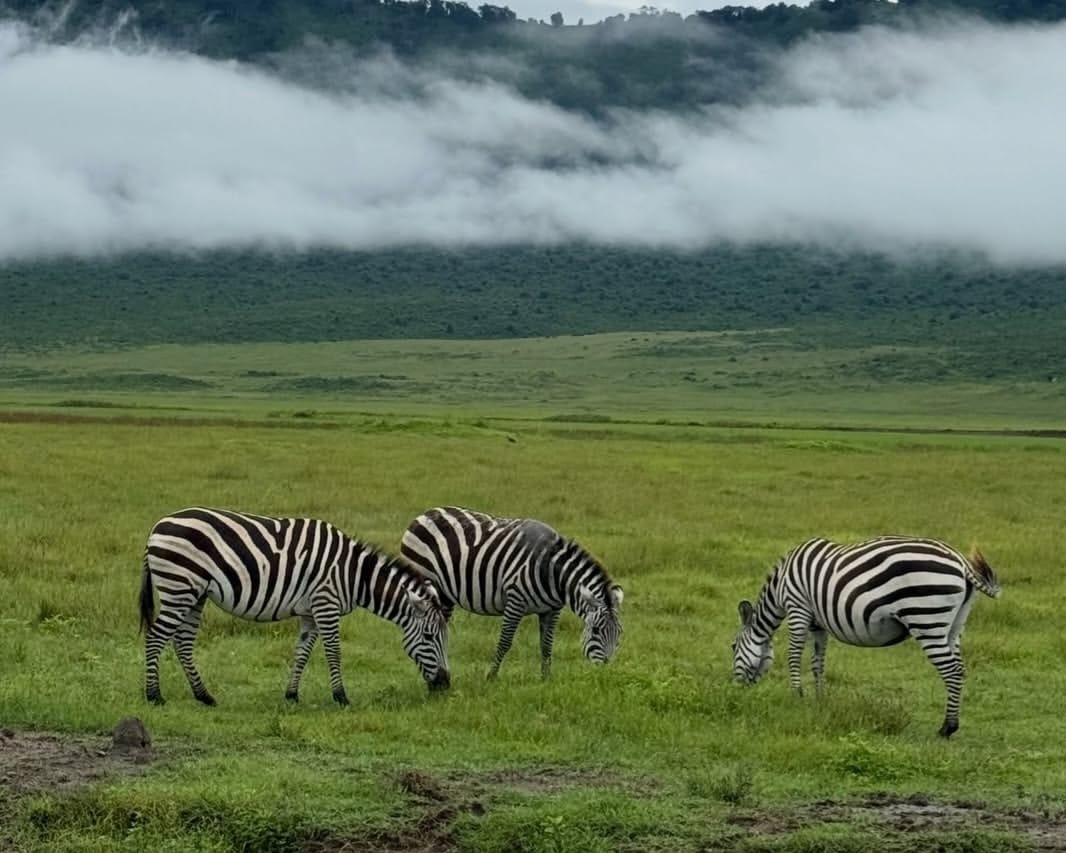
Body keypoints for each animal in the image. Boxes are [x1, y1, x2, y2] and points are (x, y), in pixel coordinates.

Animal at [139, 507, 451, 706]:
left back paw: (203, 696)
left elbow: (302, 653)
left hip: (194, 594)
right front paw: (341, 697)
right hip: (179, 587)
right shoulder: (326, 603)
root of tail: (156, 526)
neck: (354, 574)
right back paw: (154, 696)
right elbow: (334, 652)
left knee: (182, 642)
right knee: (156, 637)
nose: (445, 685)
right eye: (428, 637)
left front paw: (291, 695)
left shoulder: (310, 612)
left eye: (444, 638)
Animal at [400, 506, 623, 679]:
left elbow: (547, 644)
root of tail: (425, 513)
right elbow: (505, 642)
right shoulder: (515, 601)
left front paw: (546, 678)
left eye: (619, 633)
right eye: (596, 631)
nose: (605, 673)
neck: (551, 571)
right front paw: (491, 676)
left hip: (445, 594)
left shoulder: (552, 609)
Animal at [731, 535, 1001, 737]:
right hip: (954, 624)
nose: (735, 689)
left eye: (733, 646)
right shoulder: (818, 624)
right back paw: (952, 723)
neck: (781, 586)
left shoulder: (798, 607)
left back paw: (947, 727)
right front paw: (819, 699)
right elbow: (818, 662)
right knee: (960, 668)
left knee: (951, 671)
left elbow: (794, 655)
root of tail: (961, 562)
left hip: (927, 618)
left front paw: (796, 696)